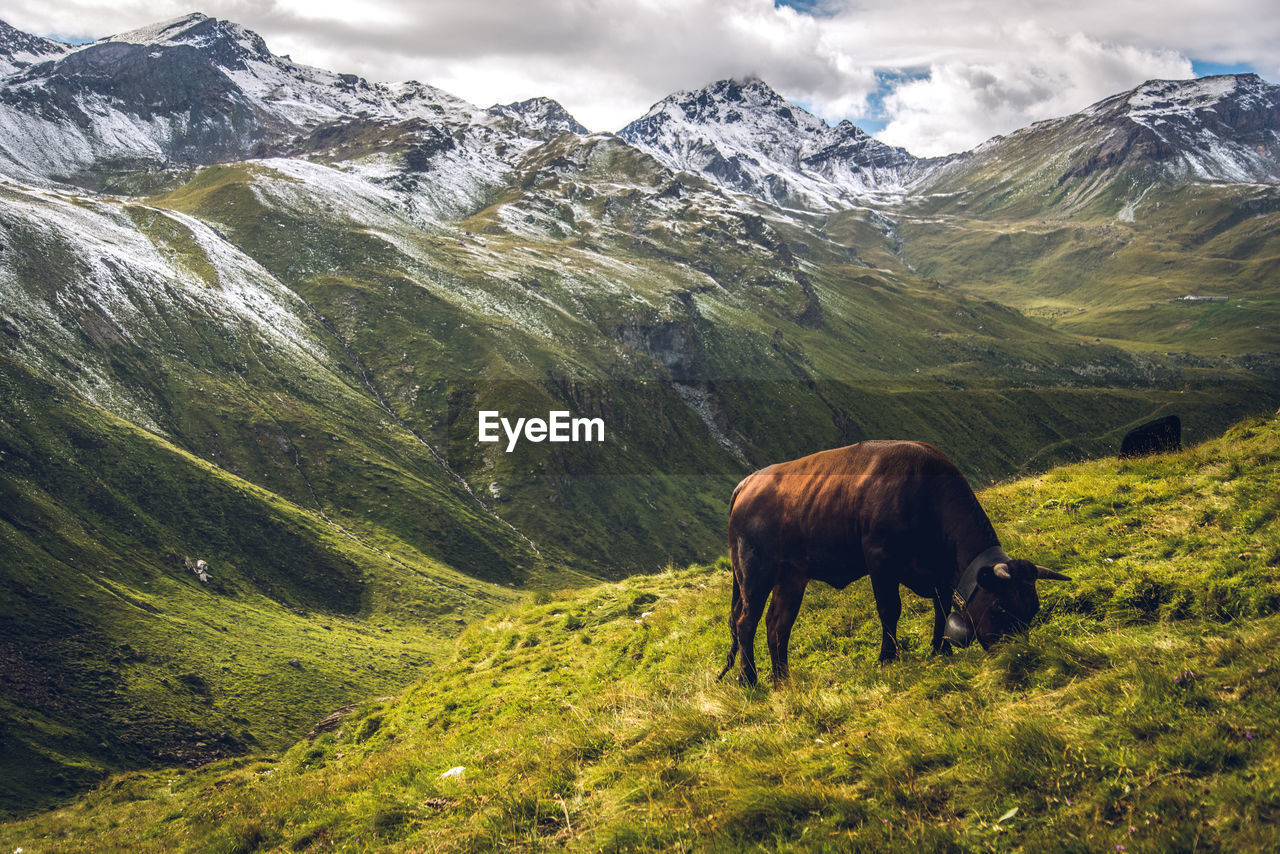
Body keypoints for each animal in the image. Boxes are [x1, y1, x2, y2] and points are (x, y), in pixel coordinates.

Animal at [721, 440, 1070, 686]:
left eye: (1033, 609)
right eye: (1000, 607)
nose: (1018, 656)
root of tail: (749, 482)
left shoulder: (938, 574)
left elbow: (942, 607)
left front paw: (939, 650)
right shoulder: (880, 559)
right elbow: (890, 609)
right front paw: (887, 659)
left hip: (792, 575)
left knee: (777, 625)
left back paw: (783, 680)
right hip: (753, 570)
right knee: (746, 621)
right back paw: (749, 679)